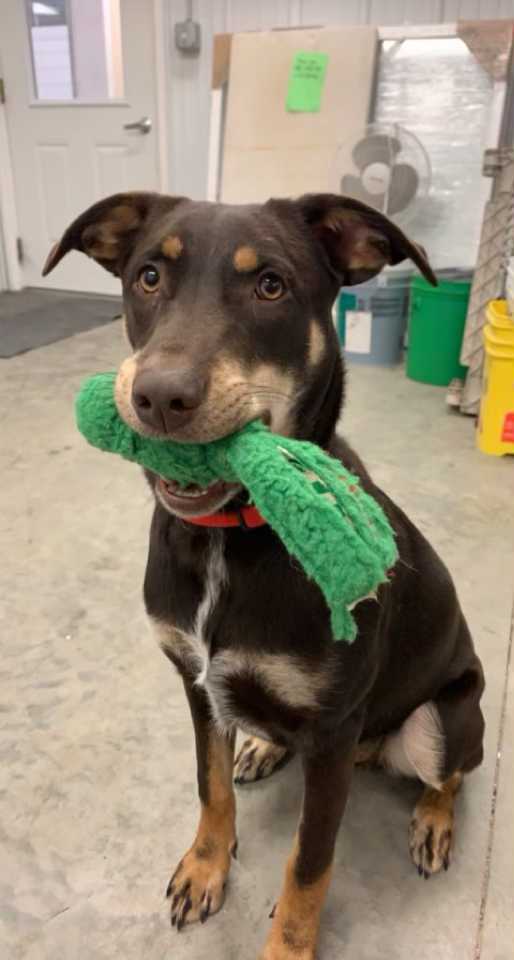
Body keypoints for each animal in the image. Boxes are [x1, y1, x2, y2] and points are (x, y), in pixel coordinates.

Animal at [43, 193, 480, 960]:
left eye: (270, 286)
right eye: (148, 275)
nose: (158, 397)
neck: (229, 537)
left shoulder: (333, 732)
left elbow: (309, 862)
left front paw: (287, 946)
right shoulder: (196, 683)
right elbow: (209, 787)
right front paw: (205, 868)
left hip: (443, 717)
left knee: (451, 771)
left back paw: (433, 820)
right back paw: (263, 746)